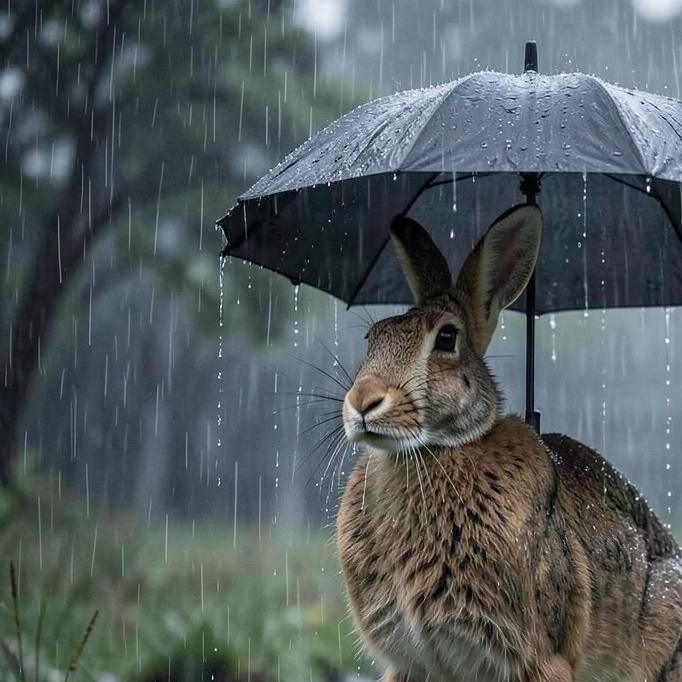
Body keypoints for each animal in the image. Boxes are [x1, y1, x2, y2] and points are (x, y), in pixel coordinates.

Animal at [336, 204, 682, 682]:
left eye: (447, 338)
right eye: (373, 339)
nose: (362, 403)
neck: (432, 451)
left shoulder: (538, 657)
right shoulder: (413, 663)